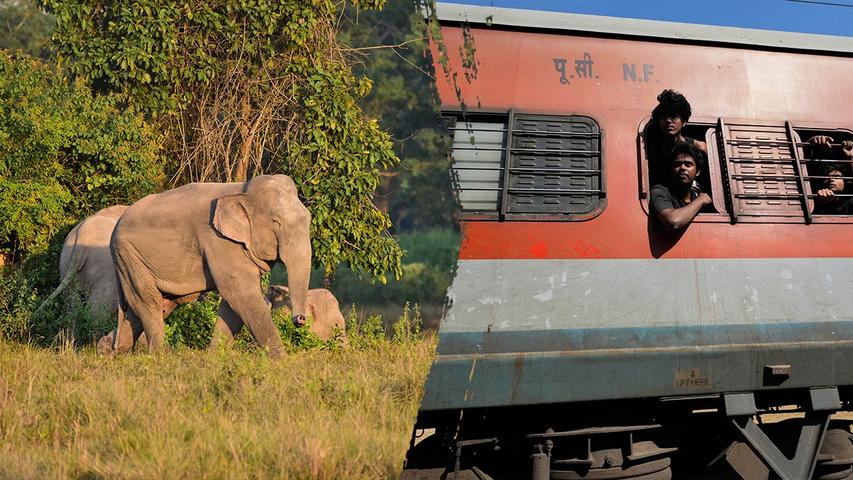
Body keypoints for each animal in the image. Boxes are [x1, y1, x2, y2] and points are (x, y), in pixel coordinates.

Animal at [110, 174, 311, 358]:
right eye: (276, 221)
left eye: (309, 218)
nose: (300, 319)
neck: (242, 191)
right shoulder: (218, 240)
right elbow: (242, 295)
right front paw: (281, 361)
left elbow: (232, 303)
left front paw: (214, 358)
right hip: (129, 256)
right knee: (149, 303)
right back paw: (159, 356)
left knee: (148, 308)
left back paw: (116, 354)